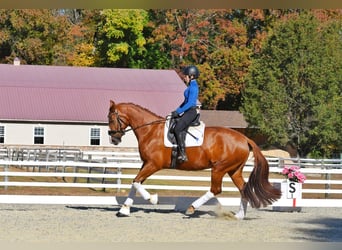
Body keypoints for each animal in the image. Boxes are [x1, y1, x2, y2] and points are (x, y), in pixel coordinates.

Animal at [107, 100, 280, 218]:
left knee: (216, 190)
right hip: (234, 170)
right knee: (243, 189)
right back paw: (239, 216)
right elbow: (135, 183)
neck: (150, 130)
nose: (113, 140)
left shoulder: (153, 164)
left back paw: (191, 208)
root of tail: (245, 138)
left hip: (219, 169)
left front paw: (153, 199)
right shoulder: (146, 164)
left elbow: (136, 182)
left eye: (111, 119)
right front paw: (124, 209)